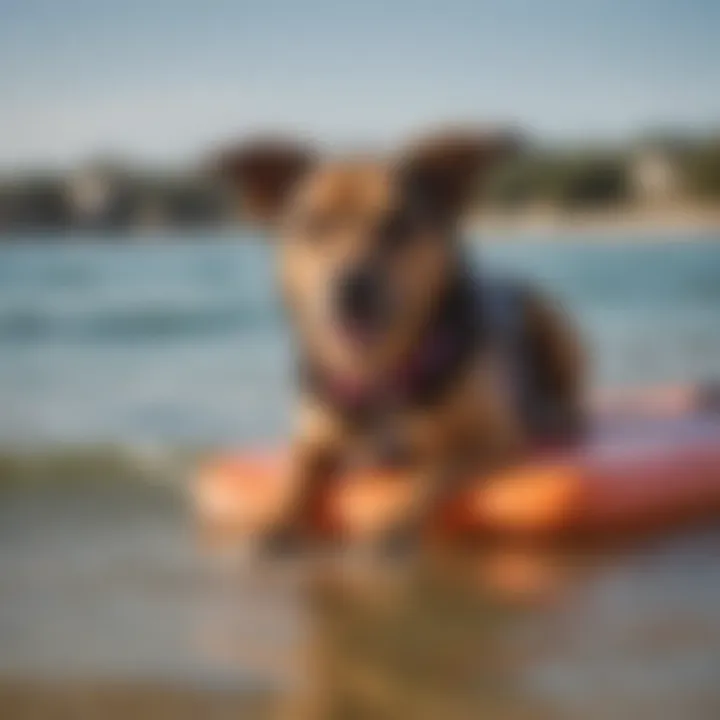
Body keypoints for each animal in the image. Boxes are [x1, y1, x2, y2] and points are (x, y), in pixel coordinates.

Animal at [221, 131, 584, 544]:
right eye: (314, 225)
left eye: (397, 225)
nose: (352, 289)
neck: (379, 374)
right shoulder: (313, 438)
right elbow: (298, 473)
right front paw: (276, 519)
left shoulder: (490, 439)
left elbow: (432, 470)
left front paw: (394, 521)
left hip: (554, 323)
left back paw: (558, 415)